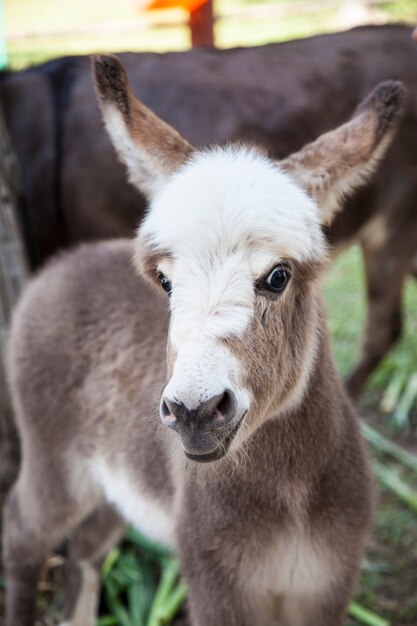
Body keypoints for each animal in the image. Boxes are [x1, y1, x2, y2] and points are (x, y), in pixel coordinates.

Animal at [2, 54, 406, 624]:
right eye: (165, 282)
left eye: (278, 277)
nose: (195, 411)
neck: (289, 495)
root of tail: (62, 264)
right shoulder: (216, 583)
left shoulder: (328, 583)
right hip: (55, 461)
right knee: (23, 534)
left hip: (117, 480)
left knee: (85, 548)